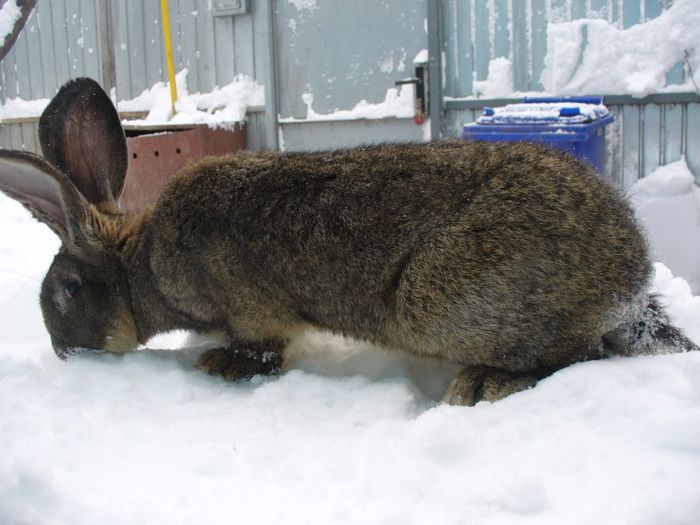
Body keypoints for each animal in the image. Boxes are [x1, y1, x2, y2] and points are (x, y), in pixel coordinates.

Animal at [0, 78, 696, 406]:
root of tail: (630, 287)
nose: (64, 354)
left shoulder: (252, 309)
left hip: (436, 300)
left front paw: (221, 365)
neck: (141, 261)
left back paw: (485, 384)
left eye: (66, 291)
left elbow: (261, 351)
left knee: (579, 354)